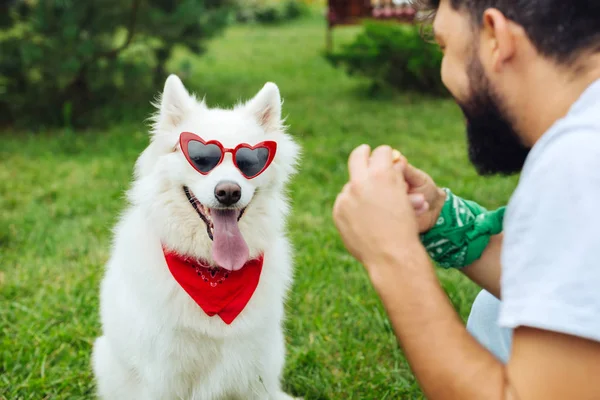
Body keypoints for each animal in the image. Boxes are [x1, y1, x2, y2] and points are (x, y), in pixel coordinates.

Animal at [91, 76, 300, 400]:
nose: (228, 192)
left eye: (250, 161)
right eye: (201, 158)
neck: (212, 271)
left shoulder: (254, 373)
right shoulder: (163, 376)